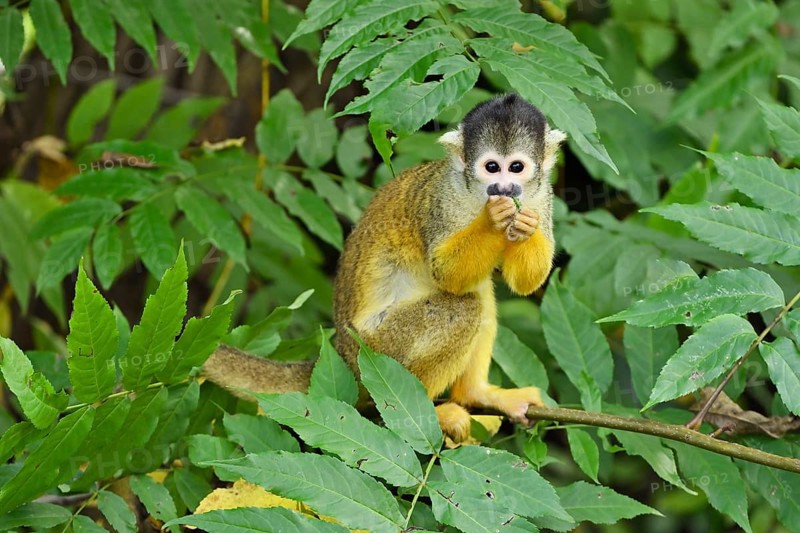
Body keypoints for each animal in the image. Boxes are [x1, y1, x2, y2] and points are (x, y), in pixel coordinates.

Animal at [204, 93, 566, 442]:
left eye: (516, 167)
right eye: (491, 167)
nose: (503, 188)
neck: (476, 196)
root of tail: (342, 354)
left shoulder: (543, 196)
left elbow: (525, 282)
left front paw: (524, 226)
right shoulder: (441, 200)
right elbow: (445, 271)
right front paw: (493, 220)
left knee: (479, 294)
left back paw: (476, 393)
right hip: (379, 346)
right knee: (465, 307)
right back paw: (428, 412)